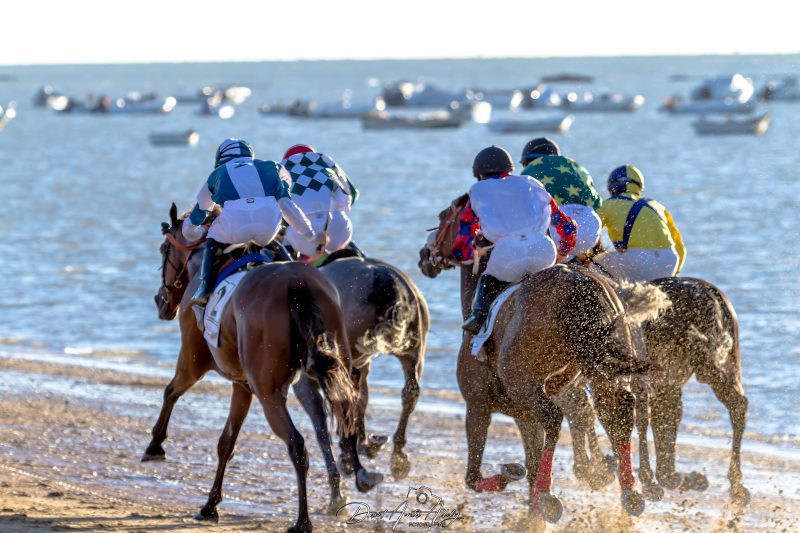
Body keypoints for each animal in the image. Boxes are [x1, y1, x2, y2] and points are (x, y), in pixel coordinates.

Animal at [150, 203, 381, 531]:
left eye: (163, 249)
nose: (160, 301)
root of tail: (296, 284)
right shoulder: (242, 384)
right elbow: (226, 442)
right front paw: (210, 505)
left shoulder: (194, 360)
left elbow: (171, 391)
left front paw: (155, 444)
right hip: (336, 367)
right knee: (346, 423)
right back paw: (360, 476)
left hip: (268, 391)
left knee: (297, 444)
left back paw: (302, 520)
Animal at [419, 201, 664, 522]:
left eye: (444, 217)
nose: (424, 256)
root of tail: (579, 283)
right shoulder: (524, 415)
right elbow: (534, 462)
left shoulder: (478, 404)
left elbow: (473, 477)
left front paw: (511, 476)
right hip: (603, 364)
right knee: (618, 408)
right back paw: (629, 491)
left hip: (525, 382)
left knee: (555, 416)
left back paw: (550, 495)